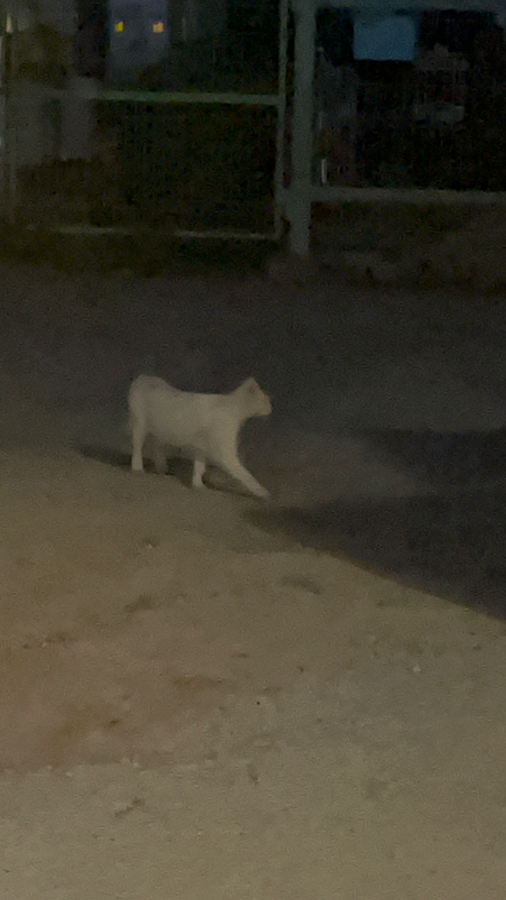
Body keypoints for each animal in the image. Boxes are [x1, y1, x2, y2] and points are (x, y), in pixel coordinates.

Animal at [129, 374, 272, 500]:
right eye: (265, 399)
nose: (271, 408)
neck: (236, 408)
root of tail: (143, 377)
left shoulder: (201, 447)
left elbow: (199, 466)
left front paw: (198, 485)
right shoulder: (225, 453)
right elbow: (245, 474)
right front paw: (263, 492)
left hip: (159, 431)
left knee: (156, 446)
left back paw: (162, 468)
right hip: (140, 424)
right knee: (137, 445)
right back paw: (138, 468)